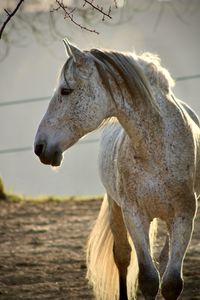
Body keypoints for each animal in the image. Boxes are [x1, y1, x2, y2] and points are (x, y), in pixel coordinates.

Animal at [34, 38, 200, 298]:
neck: (158, 150)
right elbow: (148, 279)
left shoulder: (184, 216)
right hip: (117, 209)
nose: (40, 147)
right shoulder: (134, 214)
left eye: (65, 90)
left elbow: (171, 283)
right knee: (122, 258)